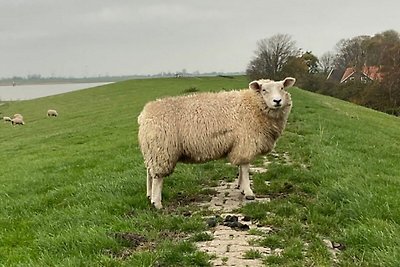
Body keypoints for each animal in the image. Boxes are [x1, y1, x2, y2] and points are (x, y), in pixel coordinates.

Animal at [139, 76, 296, 210]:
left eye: (282, 88)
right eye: (264, 90)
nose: (277, 101)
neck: (252, 105)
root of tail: (144, 114)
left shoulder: (239, 144)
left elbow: (241, 168)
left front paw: (240, 187)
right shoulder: (246, 142)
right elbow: (245, 168)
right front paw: (248, 192)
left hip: (151, 151)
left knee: (149, 173)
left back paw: (149, 195)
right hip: (162, 151)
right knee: (158, 177)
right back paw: (157, 203)